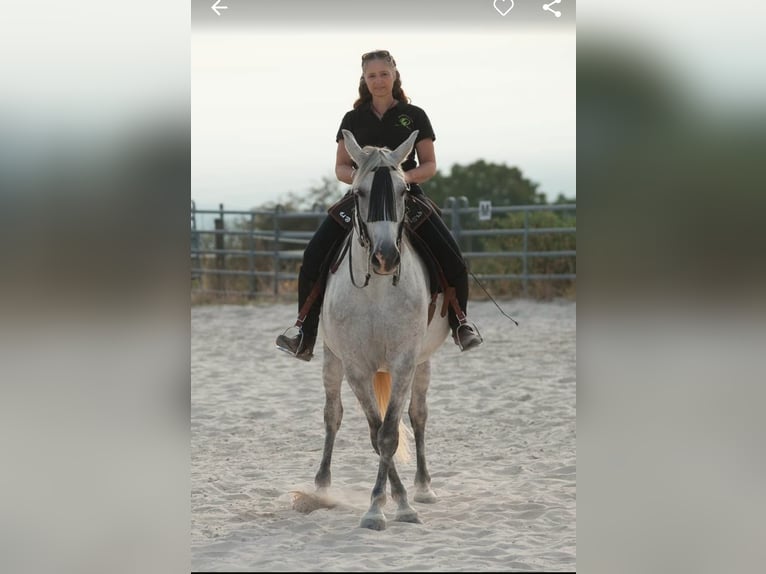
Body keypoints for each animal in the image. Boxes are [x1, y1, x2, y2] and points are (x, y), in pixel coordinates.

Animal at [316, 129, 452, 532]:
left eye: (403, 191)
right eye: (360, 192)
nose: (385, 257)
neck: (376, 289)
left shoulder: (405, 362)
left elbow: (390, 433)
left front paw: (400, 505)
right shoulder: (356, 367)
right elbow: (376, 434)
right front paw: (380, 506)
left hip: (422, 362)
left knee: (418, 416)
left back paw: (423, 487)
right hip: (331, 358)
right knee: (332, 414)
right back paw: (322, 487)